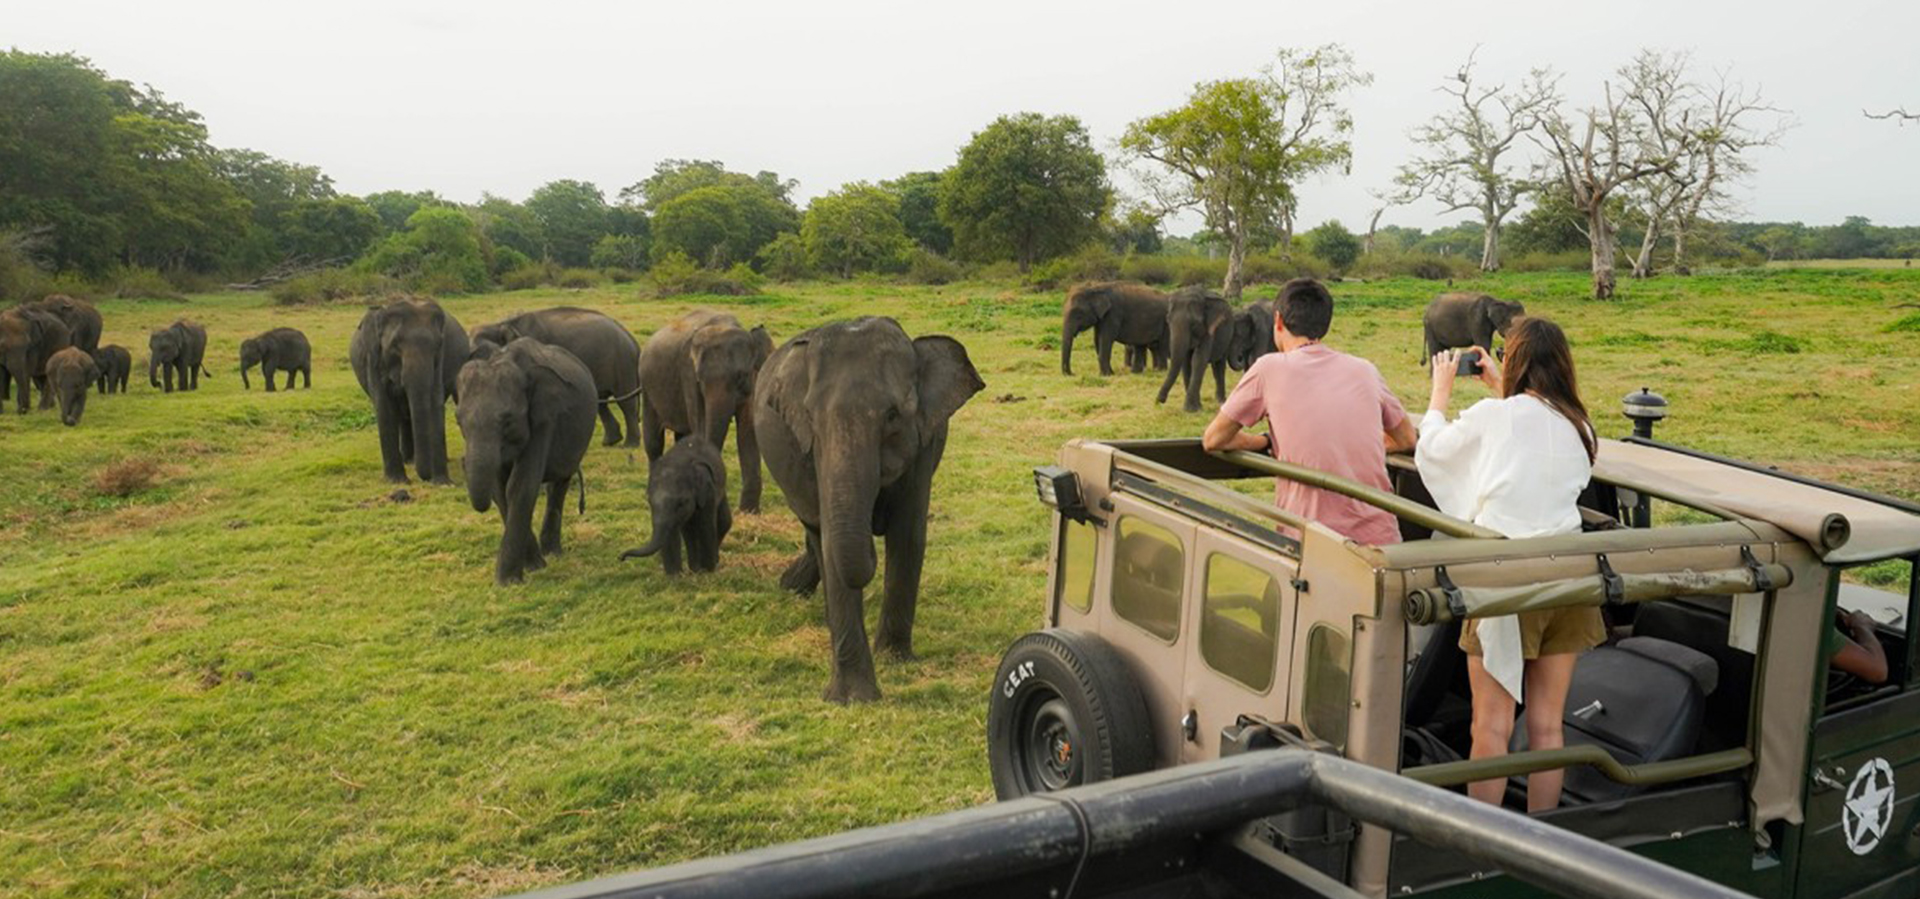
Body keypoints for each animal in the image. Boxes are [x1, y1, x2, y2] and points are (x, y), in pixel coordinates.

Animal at [347, 297, 466, 484]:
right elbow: (385, 407)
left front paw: (443, 483)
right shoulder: (373, 360)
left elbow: (435, 403)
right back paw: (408, 460)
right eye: (394, 345)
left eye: (438, 345)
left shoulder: (439, 360)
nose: (426, 478)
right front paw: (397, 481)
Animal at [472, 309, 645, 449]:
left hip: (622, 363)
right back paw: (610, 442)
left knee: (626, 403)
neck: (500, 324)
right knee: (601, 401)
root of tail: (633, 342)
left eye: (478, 354)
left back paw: (630, 445)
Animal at [622, 436, 733, 576]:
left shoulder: (708, 493)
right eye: (649, 501)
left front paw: (707, 572)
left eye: (681, 503)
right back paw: (694, 568)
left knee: (723, 522)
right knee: (689, 531)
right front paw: (675, 576)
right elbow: (673, 530)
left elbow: (705, 525)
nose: (621, 558)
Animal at [637, 313, 771, 510]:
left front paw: (749, 512)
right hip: (647, 389)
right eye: (700, 379)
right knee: (653, 441)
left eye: (741, 376)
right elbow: (701, 426)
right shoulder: (688, 376)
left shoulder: (753, 381)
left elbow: (747, 430)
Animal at [752, 316, 990, 703]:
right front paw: (852, 698)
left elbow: (907, 536)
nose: (871, 527)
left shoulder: (923, 444)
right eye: (811, 418)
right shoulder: (814, 454)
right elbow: (832, 544)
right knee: (815, 532)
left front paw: (894, 658)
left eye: (892, 416)